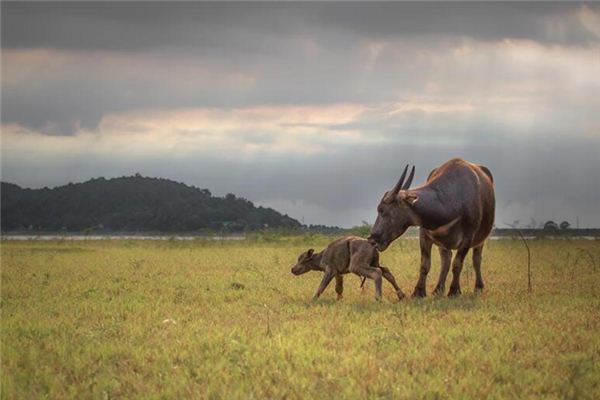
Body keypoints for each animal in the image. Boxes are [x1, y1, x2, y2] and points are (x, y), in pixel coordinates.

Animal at [368, 159, 494, 296]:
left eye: (382, 210)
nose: (372, 239)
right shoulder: (424, 235)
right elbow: (425, 264)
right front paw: (418, 291)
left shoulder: (468, 238)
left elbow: (457, 264)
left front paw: (454, 291)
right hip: (443, 243)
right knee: (446, 261)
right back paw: (438, 289)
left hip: (480, 239)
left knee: (476, 259)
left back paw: (478, 286)